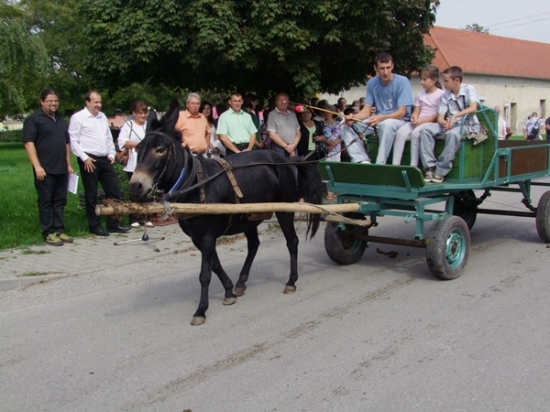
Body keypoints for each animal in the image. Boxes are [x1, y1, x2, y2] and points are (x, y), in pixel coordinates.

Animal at [129, 106, 323, 325]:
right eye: (137, 149)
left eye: (160, 149)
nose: (135, 187)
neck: (196, 186)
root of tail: (285, 160)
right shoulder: (198, 238)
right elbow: (215, 264)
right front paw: (229, 290)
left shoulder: (206, 237)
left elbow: (205, 274)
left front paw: (201, 310)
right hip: (249, 218)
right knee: (254, 245)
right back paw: (241, 282)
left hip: (284, 211)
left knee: (292, 242)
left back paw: (291, 281)